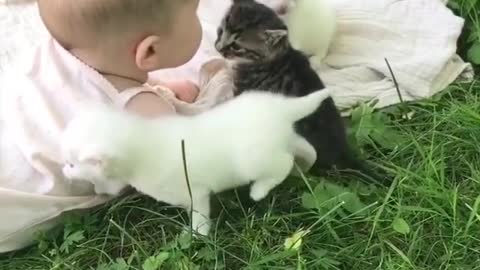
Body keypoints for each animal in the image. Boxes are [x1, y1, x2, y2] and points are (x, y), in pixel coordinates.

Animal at [60, 89, 332, 235]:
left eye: (73, 163)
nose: (64, 169)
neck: (142, 143)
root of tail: (281, 108)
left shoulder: (195, 192)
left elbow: (199, 215)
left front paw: (197, 235)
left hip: (256, 159)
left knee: (282, 163)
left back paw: (260, 190)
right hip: (284, 138)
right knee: (304, 147)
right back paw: (304, 167)